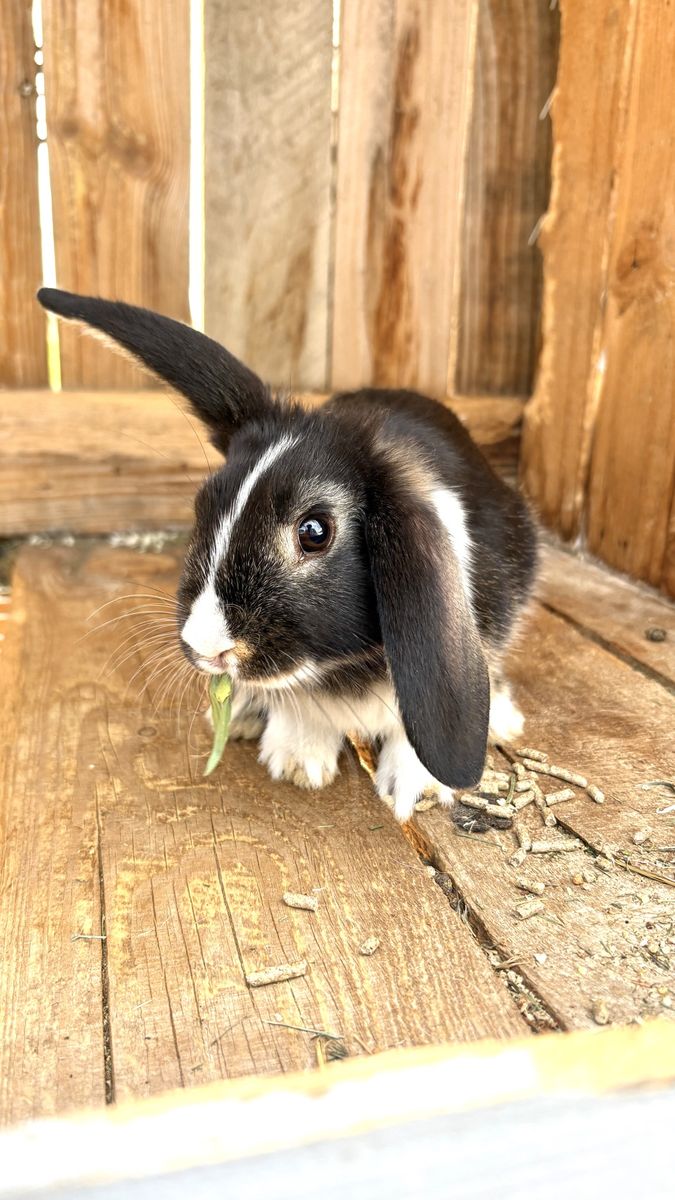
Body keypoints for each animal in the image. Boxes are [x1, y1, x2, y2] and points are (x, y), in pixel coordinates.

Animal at [37, 288, 538, 822]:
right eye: (203, 506)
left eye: (315, 532)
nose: (206, 648)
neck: (346, 667)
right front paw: (298, 760)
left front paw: (417, 788)